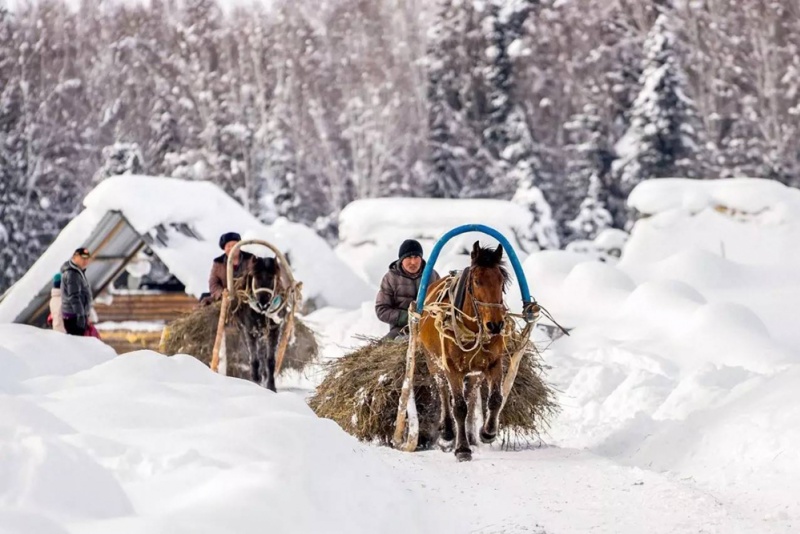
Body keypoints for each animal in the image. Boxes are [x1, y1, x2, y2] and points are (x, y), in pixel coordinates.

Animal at [418, 242, 506, 460]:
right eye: (476, 281)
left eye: (501, 280)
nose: (495, 325)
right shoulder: (451, 368)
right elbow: (458, 407)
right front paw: (462, 449)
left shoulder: (493, 364)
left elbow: (495, 400)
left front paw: (487, 432)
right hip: (434, 363)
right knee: (443, 391)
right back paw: (449, 431)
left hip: (474, 373)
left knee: (471, 396)